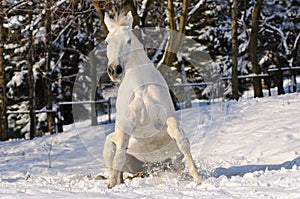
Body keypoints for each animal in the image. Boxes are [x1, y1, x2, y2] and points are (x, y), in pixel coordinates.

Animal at [102, 11, 202, 188]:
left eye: (128, 40)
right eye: (107, 41)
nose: (114, 69)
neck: (141, 89)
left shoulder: (169, 117)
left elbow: (182, 141)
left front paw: (198, 178)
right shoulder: (125, 126)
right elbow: (118, 157)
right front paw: (112, 187)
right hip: (110, 146)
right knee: (116, 164)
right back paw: (116, 183)